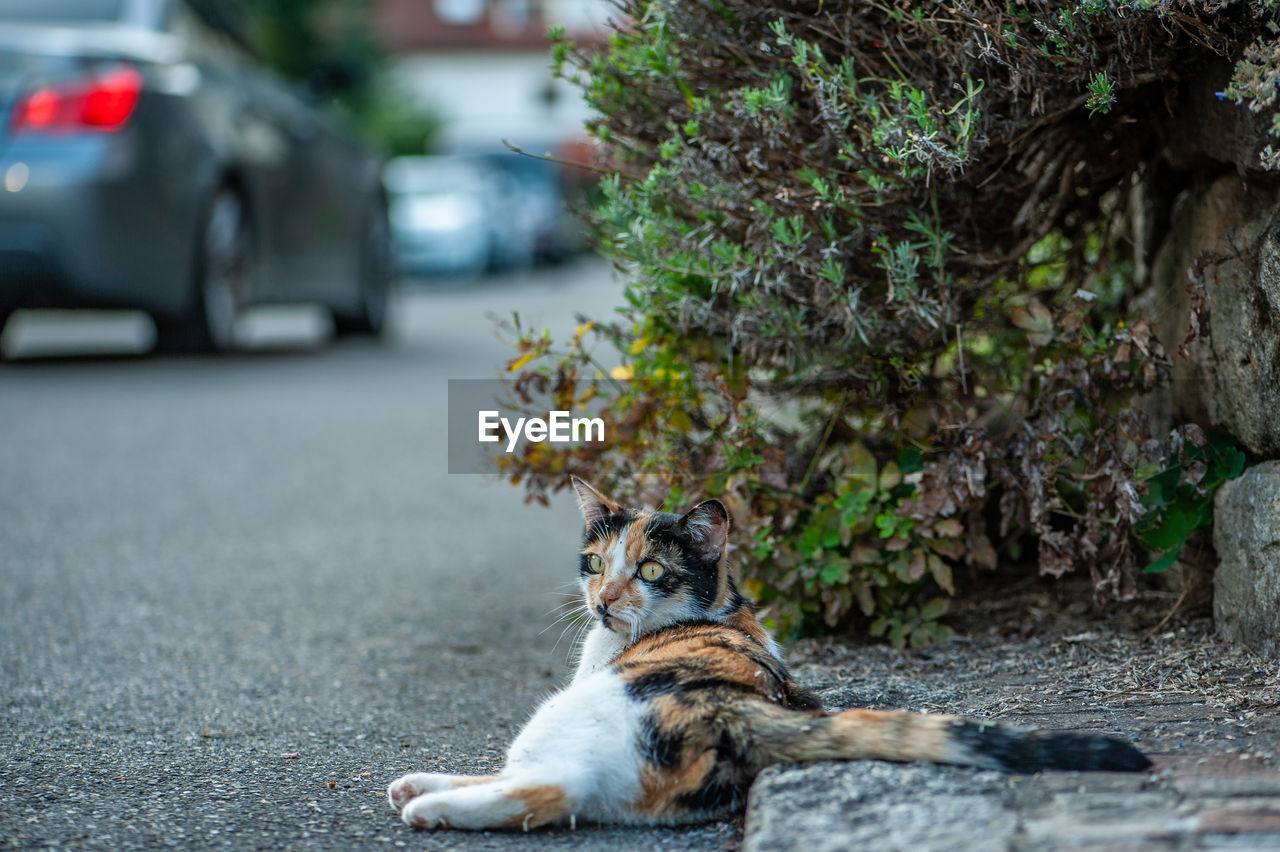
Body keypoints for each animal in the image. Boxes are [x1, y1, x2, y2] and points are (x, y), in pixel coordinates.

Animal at [381, 478, 1152, 828]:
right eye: (594, 563)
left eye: (650, 571)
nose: (601, 601)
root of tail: (740, 713)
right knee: (552, 786)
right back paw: (422, 787)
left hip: (570, 711)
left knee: (547, 785)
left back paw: (429, 807)